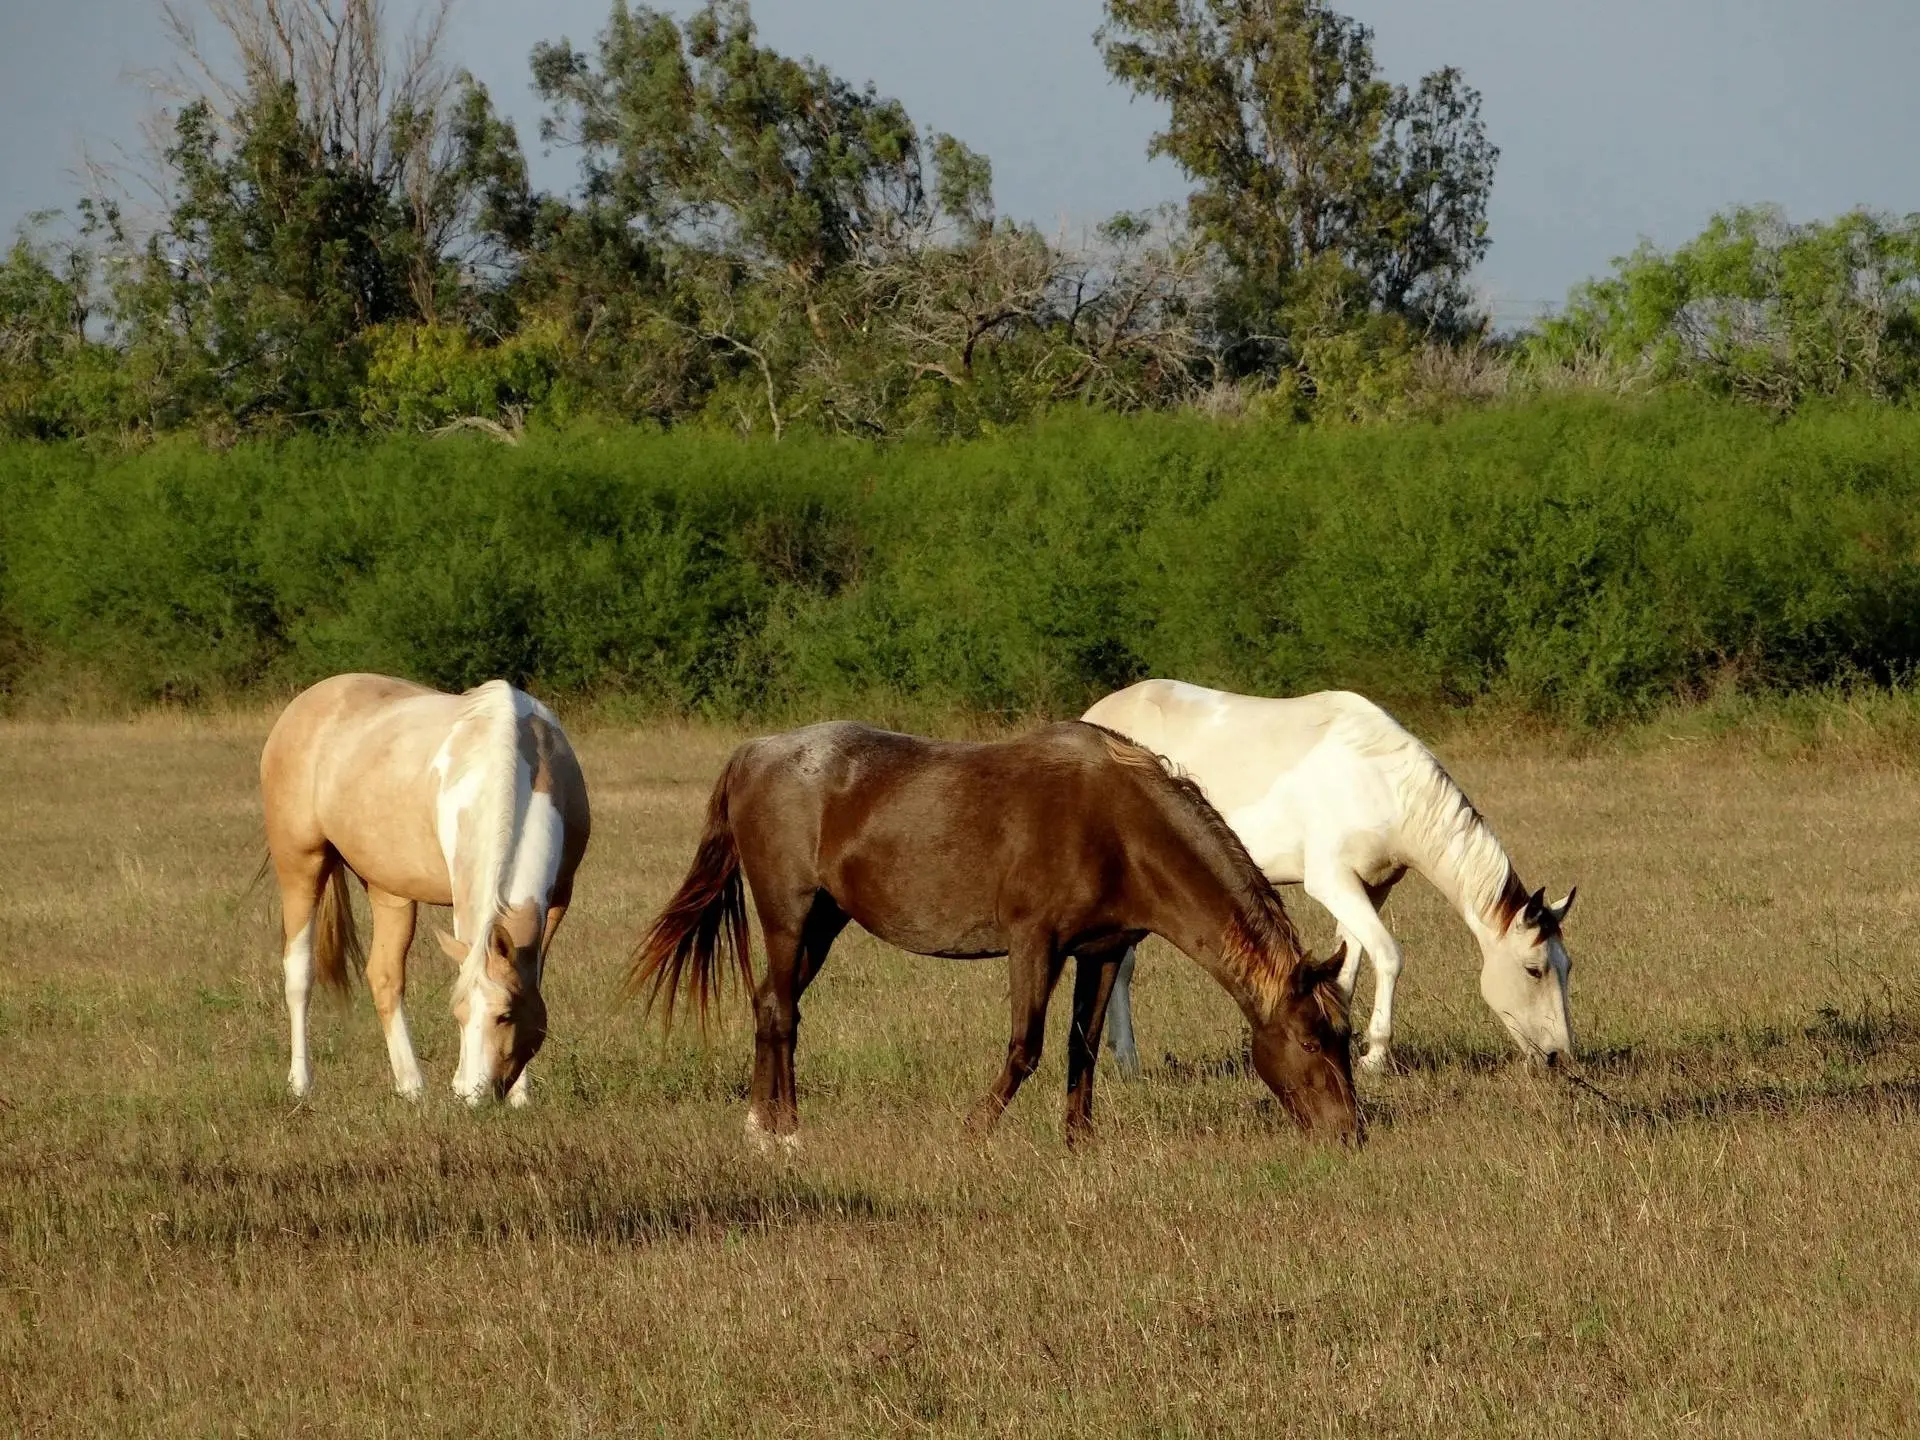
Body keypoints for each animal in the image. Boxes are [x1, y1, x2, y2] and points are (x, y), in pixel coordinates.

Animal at [257, 675, 583, 1105]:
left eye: (505, 1014)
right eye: (459, 1013)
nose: (474, 1095)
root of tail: (307, 702)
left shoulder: (560, 898)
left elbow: (532, 978)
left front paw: (520, 1097)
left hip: (387, 889)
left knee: (384, 976)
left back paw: (411, 1086)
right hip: (299, 865)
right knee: (299, 973)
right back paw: (300, 1083)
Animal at [629, 721, 1367, 1152]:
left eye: (1346, 1039)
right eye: (1310, 1040)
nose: (1350, 1132)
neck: (1121, 827)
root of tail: (754, 753)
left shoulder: (1102, 951)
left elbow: (1081, 1048)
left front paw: (1079, 1141)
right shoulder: (1034, 944)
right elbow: (1025, 1048)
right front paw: (974, 1131)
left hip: (824, 922)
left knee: (770, 1006)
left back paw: (761, 1124)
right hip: (788, 914)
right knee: (781, 1011)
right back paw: (783, 1130)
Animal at [1082, 683, 1574, 1075]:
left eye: (1567, 967)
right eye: (1534, 970)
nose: (1558, 1056)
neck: (1381, 781)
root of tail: (1093, 717)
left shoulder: (1371, 888)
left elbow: (1349, 965)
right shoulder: (1331, 882)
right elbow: (1388, 956)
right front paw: (1375, 1057)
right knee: (1121, 969)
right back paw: (1127, 1062)